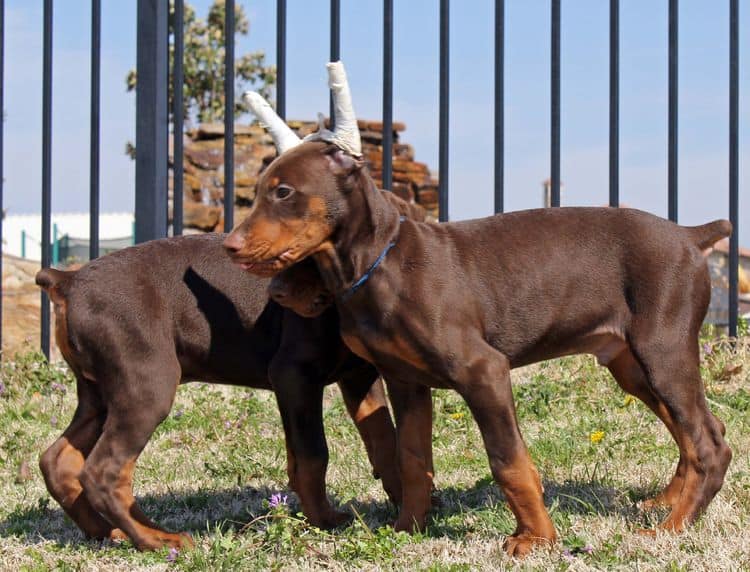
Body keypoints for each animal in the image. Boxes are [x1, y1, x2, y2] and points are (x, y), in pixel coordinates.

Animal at [35, 235, 402, 552]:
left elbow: (384, 440)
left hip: (100, 395)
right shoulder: (295, 374)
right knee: (103, 472)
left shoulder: (359, 375)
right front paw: (323, 520)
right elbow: (314, 454)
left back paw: (107, 531)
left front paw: (403, 503)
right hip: (146, 386)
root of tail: (68, 280)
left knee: (58, 460)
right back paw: (155, 539)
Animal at [225, 61, 736, 556]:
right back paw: (665, 504)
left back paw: (670, 528)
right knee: (700, 431)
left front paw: (537, 539)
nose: (230, 247)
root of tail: (690, 235)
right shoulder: (406, 381)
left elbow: (507, 459)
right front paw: (409, 528)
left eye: (283, 192)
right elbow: (412, 459)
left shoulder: (483, 370)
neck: (382, 263)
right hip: (631, 365)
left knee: (708, 443)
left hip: (663, 351)